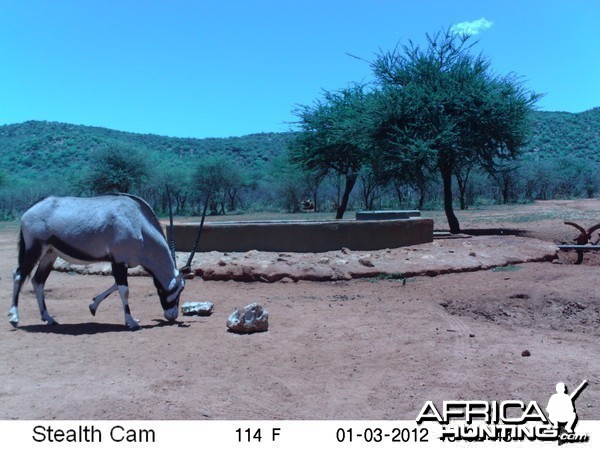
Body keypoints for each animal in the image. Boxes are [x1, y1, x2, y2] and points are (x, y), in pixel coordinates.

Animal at [7, 193, 202, 330]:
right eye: (179, 288)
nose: (172, 316)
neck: (137, 222)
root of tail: (30, 209)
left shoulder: (122, 263)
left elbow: (116, 285)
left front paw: (92, 306)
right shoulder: (118, 261)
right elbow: (124, 290)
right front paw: (131, 321)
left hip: (49, 254)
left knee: (38, 281)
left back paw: (48, 318)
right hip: (34, 249)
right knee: (18, 275)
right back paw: (14, 318)